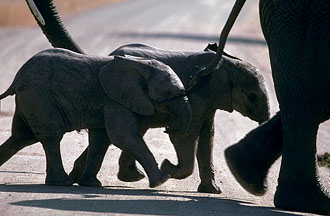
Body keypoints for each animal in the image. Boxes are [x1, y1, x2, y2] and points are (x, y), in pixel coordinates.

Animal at [0, 48, 192, 188]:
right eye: (170, 94)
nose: (169, 129)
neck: (141, 66)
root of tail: (16, 78)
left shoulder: (108, 101)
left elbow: (101, 138)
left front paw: (91, 185)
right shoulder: (114, 100)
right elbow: (122, 136)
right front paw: (161, 180)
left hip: (30, 99)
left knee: (21, 137)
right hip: (39, 97)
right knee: (50, 137)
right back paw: (62, 183)